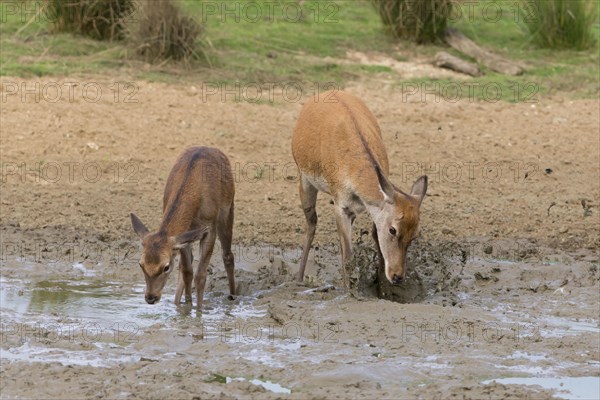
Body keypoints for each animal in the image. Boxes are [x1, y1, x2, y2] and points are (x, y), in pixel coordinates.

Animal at [130, 147, 236, 310]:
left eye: (166, 267)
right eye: (141, 264)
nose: (151, 297)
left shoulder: (210, 227)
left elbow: (200, 275)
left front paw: (198, 311)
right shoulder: (183, 236)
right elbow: (187, 271)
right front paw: (186, 308)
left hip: (228, 209)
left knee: (228, 256)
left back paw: (233, 297)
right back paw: (177, 302)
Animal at [290, 90, 426, 284]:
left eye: (415, 233)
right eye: (393, 229)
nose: (398, 276)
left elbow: (372, 237)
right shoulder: (340, 205)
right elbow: (348, 257)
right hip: (304, 179)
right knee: (311, 223)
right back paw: (299, 279)